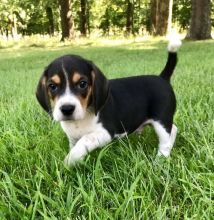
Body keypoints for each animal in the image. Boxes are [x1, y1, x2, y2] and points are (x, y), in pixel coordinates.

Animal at [36, 37, 181, 166]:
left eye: (82, 84)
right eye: (52, 86)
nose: (67, 109)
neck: (81, 119)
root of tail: (162, 78)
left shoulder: (106, 132)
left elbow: (85, 140)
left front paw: (69, 161)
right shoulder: (72, 138)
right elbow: (75, 146)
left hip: (161, 119)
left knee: (165, 140)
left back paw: (160, 161)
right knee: (173, 130)